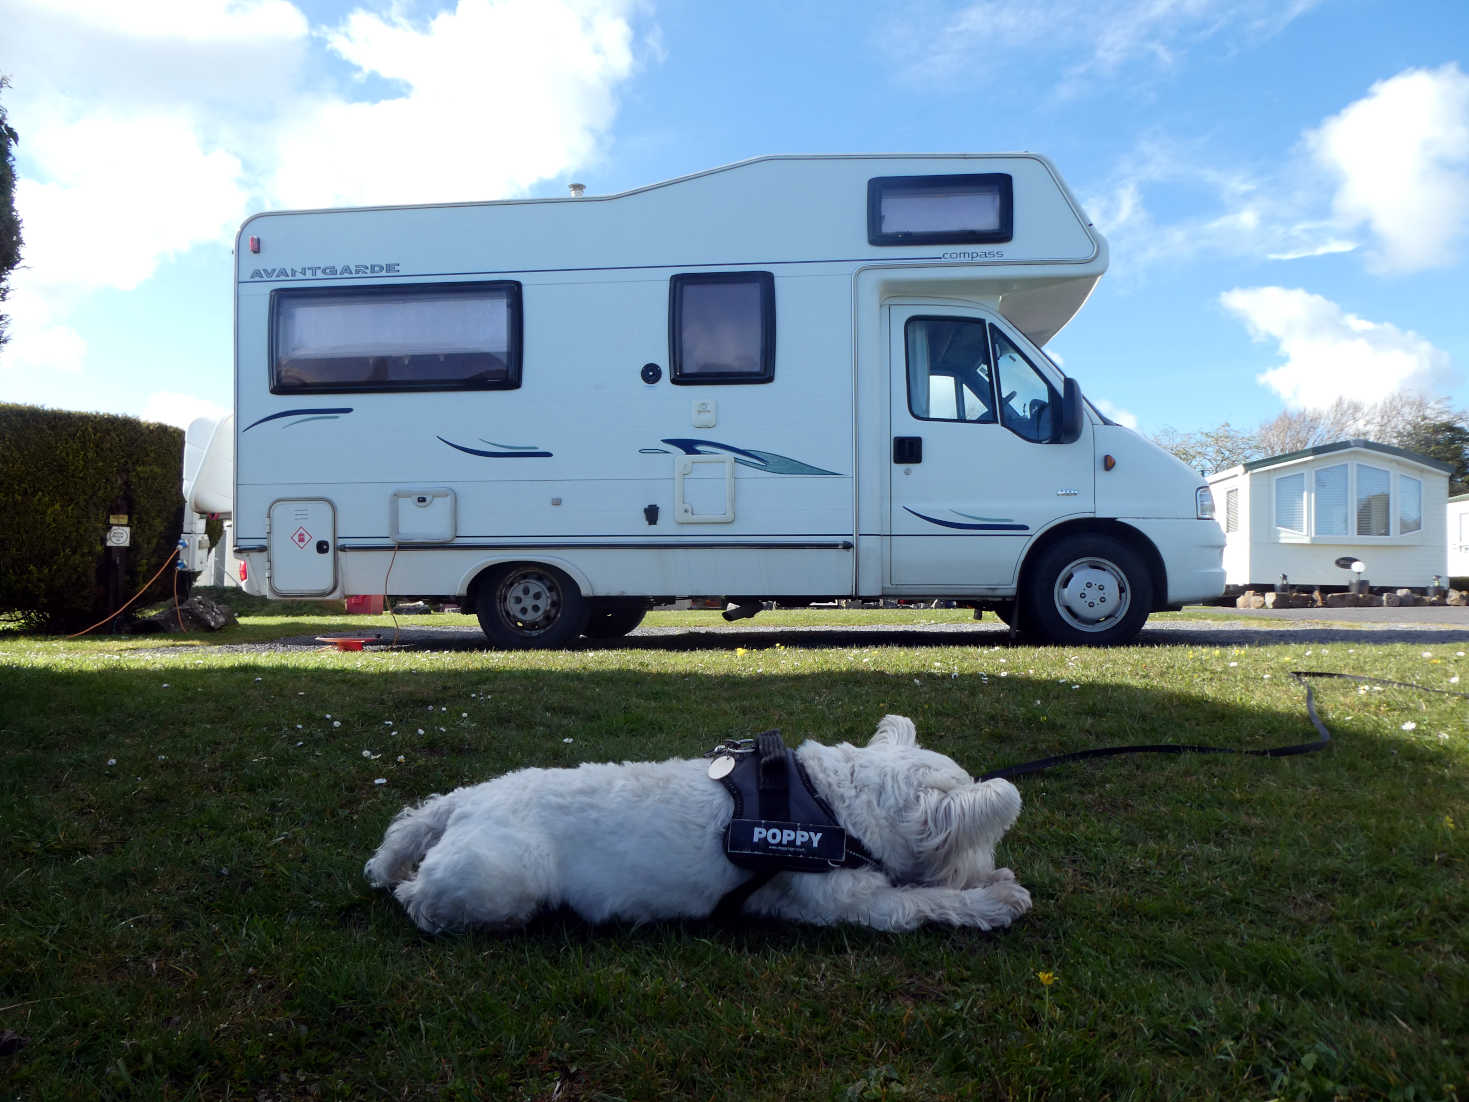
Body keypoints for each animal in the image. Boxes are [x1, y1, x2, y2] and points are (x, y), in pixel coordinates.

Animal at [364, 717, 1034, 934]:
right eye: (980, 840)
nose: (983, 866)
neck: (836, 804)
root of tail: (463, 805)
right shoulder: (852, 904)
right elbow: (925, 903)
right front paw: (997, 897)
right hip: (499, 882)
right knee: (416, 896)